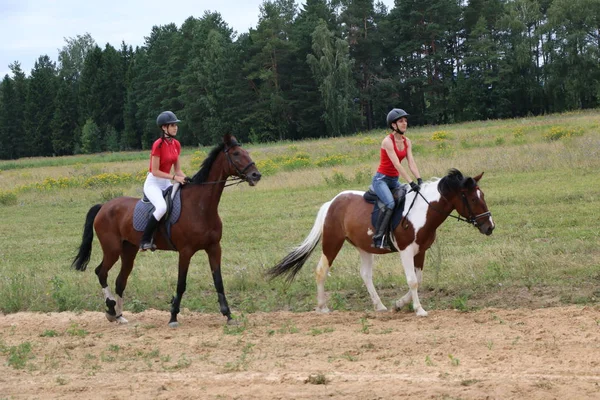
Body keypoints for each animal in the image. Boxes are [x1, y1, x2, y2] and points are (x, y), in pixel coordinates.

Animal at [72, 134, 260, 324]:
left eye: (246, 152)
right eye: (236, 154)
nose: (256, 175)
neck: (201, 206)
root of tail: (103, 206)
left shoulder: (214, 248)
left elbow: (218, 281)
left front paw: (228, 315)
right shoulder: (185, 252)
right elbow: (181, 284)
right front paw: (173, 316)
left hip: (128, 250)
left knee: (120, 281)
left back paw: (119, 316)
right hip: (112, 249)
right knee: (101, 273)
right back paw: (110, 309)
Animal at [268, 168, 492, 316]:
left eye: (482, 195)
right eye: (473, 199)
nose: (490, 227)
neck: (423, 211)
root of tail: (332, 202)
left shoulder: (420, 251)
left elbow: (418, 280)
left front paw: (399, 304)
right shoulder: (406, 251)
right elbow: (412, 280)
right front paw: (419, 309)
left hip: (364, 247)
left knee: (366, 275)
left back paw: (380, 306)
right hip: (332, 242)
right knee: (321, 270)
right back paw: (322, 307)